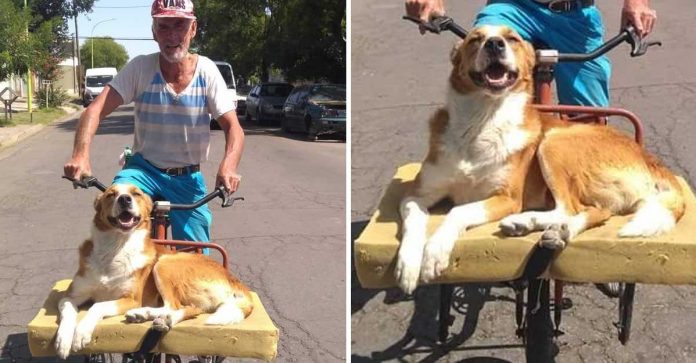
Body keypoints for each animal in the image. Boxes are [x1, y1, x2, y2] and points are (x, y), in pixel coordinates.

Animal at [55, 183, 253, 360]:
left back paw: (146, 314)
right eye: (111, 194)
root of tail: (232, 278)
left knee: (174, 305)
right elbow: (68, 311)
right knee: (189, 308)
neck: (115, 247)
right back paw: (157, 318)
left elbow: (97, 306)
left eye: (136, 194)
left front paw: (81, 332)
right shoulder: (70, 296)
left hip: (164, 263)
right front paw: (63, 340)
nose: (124, 199)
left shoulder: (131, 299)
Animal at [396, 24, 684, 296]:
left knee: (570, 207)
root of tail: (649, 158)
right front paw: (408, 265)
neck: (482, 120)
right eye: (475, 39)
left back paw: (528, 222)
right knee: (595, 210)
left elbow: (458, 211)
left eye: (511, 38)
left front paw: (434, 252)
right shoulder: (417, 195)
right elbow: (414, 219)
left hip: (553, 142)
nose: (494, 44)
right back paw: (555, 230)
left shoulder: (508, 199)